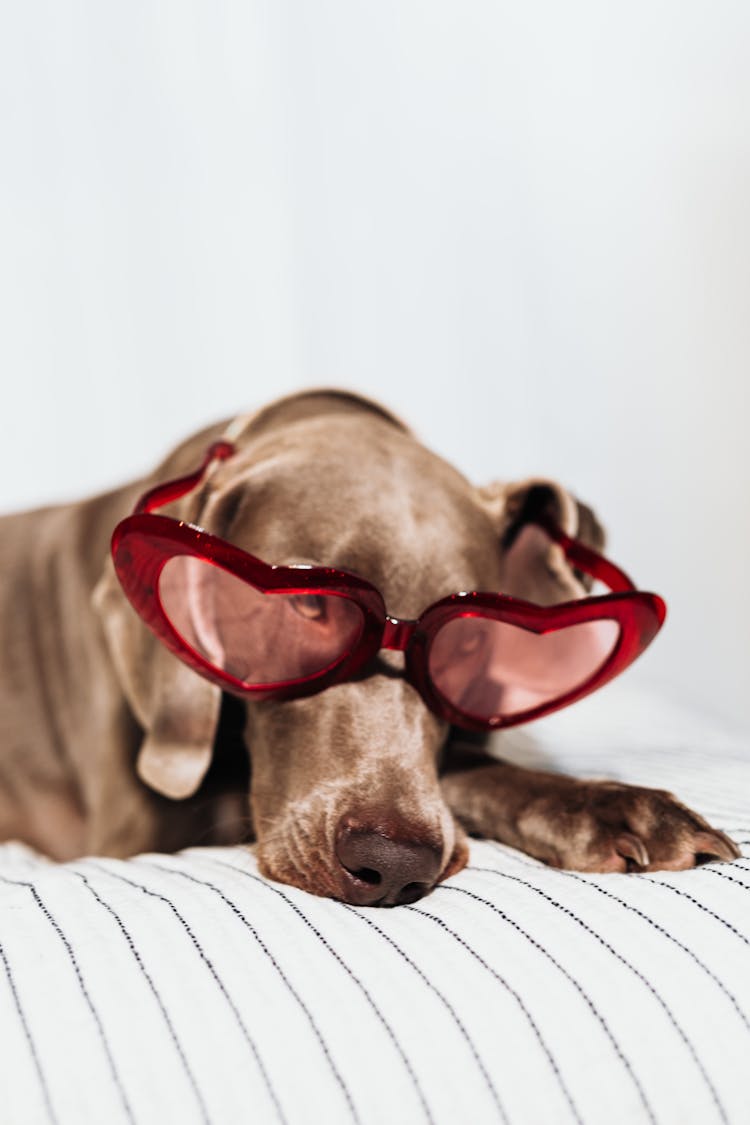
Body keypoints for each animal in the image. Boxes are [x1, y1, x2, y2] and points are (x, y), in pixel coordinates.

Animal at [0, 389, 737, 904]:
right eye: (308, 604)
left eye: (468, 639)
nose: (394, 867)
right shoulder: (138, 827)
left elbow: (470, 767)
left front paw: (609, 804)